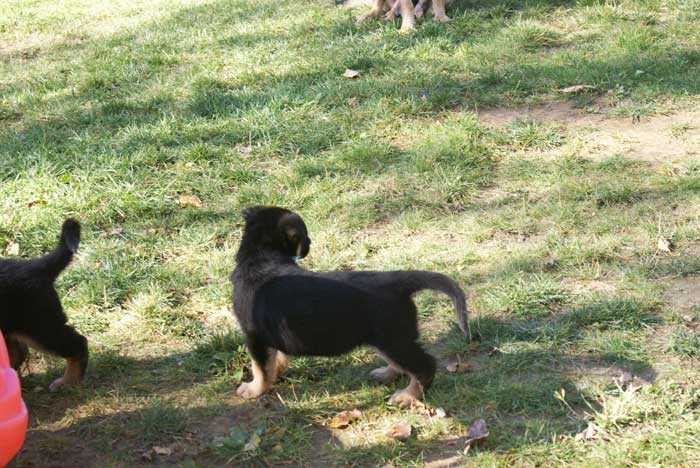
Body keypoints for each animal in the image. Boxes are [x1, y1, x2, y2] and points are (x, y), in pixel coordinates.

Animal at [231, 205, 470, 406]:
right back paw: (387, 374)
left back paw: (408, 396)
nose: (310, 243)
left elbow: (259, 368)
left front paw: (253, 390)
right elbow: (275, 359)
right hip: (388, 339)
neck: (261, 256)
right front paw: (276, 373)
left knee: (424, 366)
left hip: (393, 339)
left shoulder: (254, 336)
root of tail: (396, 281)